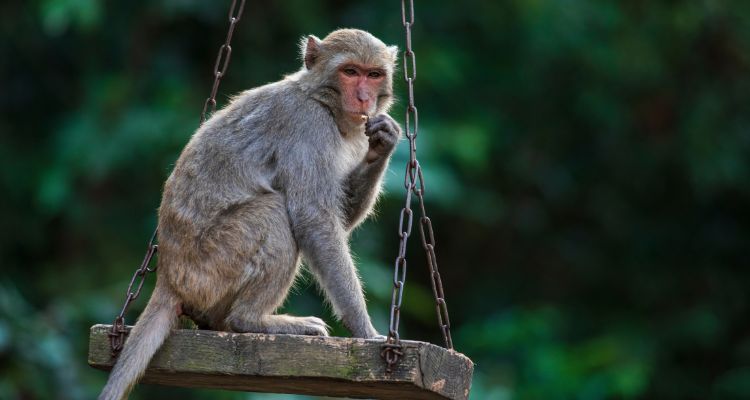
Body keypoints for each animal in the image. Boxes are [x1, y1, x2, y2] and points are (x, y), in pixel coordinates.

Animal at [98, 29, 401, 400]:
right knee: (273, 213)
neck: (321, 100)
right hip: (210, 269)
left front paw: (384, 144)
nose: (363, 97)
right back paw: (252, 321)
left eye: (374, 75)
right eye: (350, 71)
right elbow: (314, 219)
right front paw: (365, 331)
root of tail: (168, 277)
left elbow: (339, 217)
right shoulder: (307, 126)